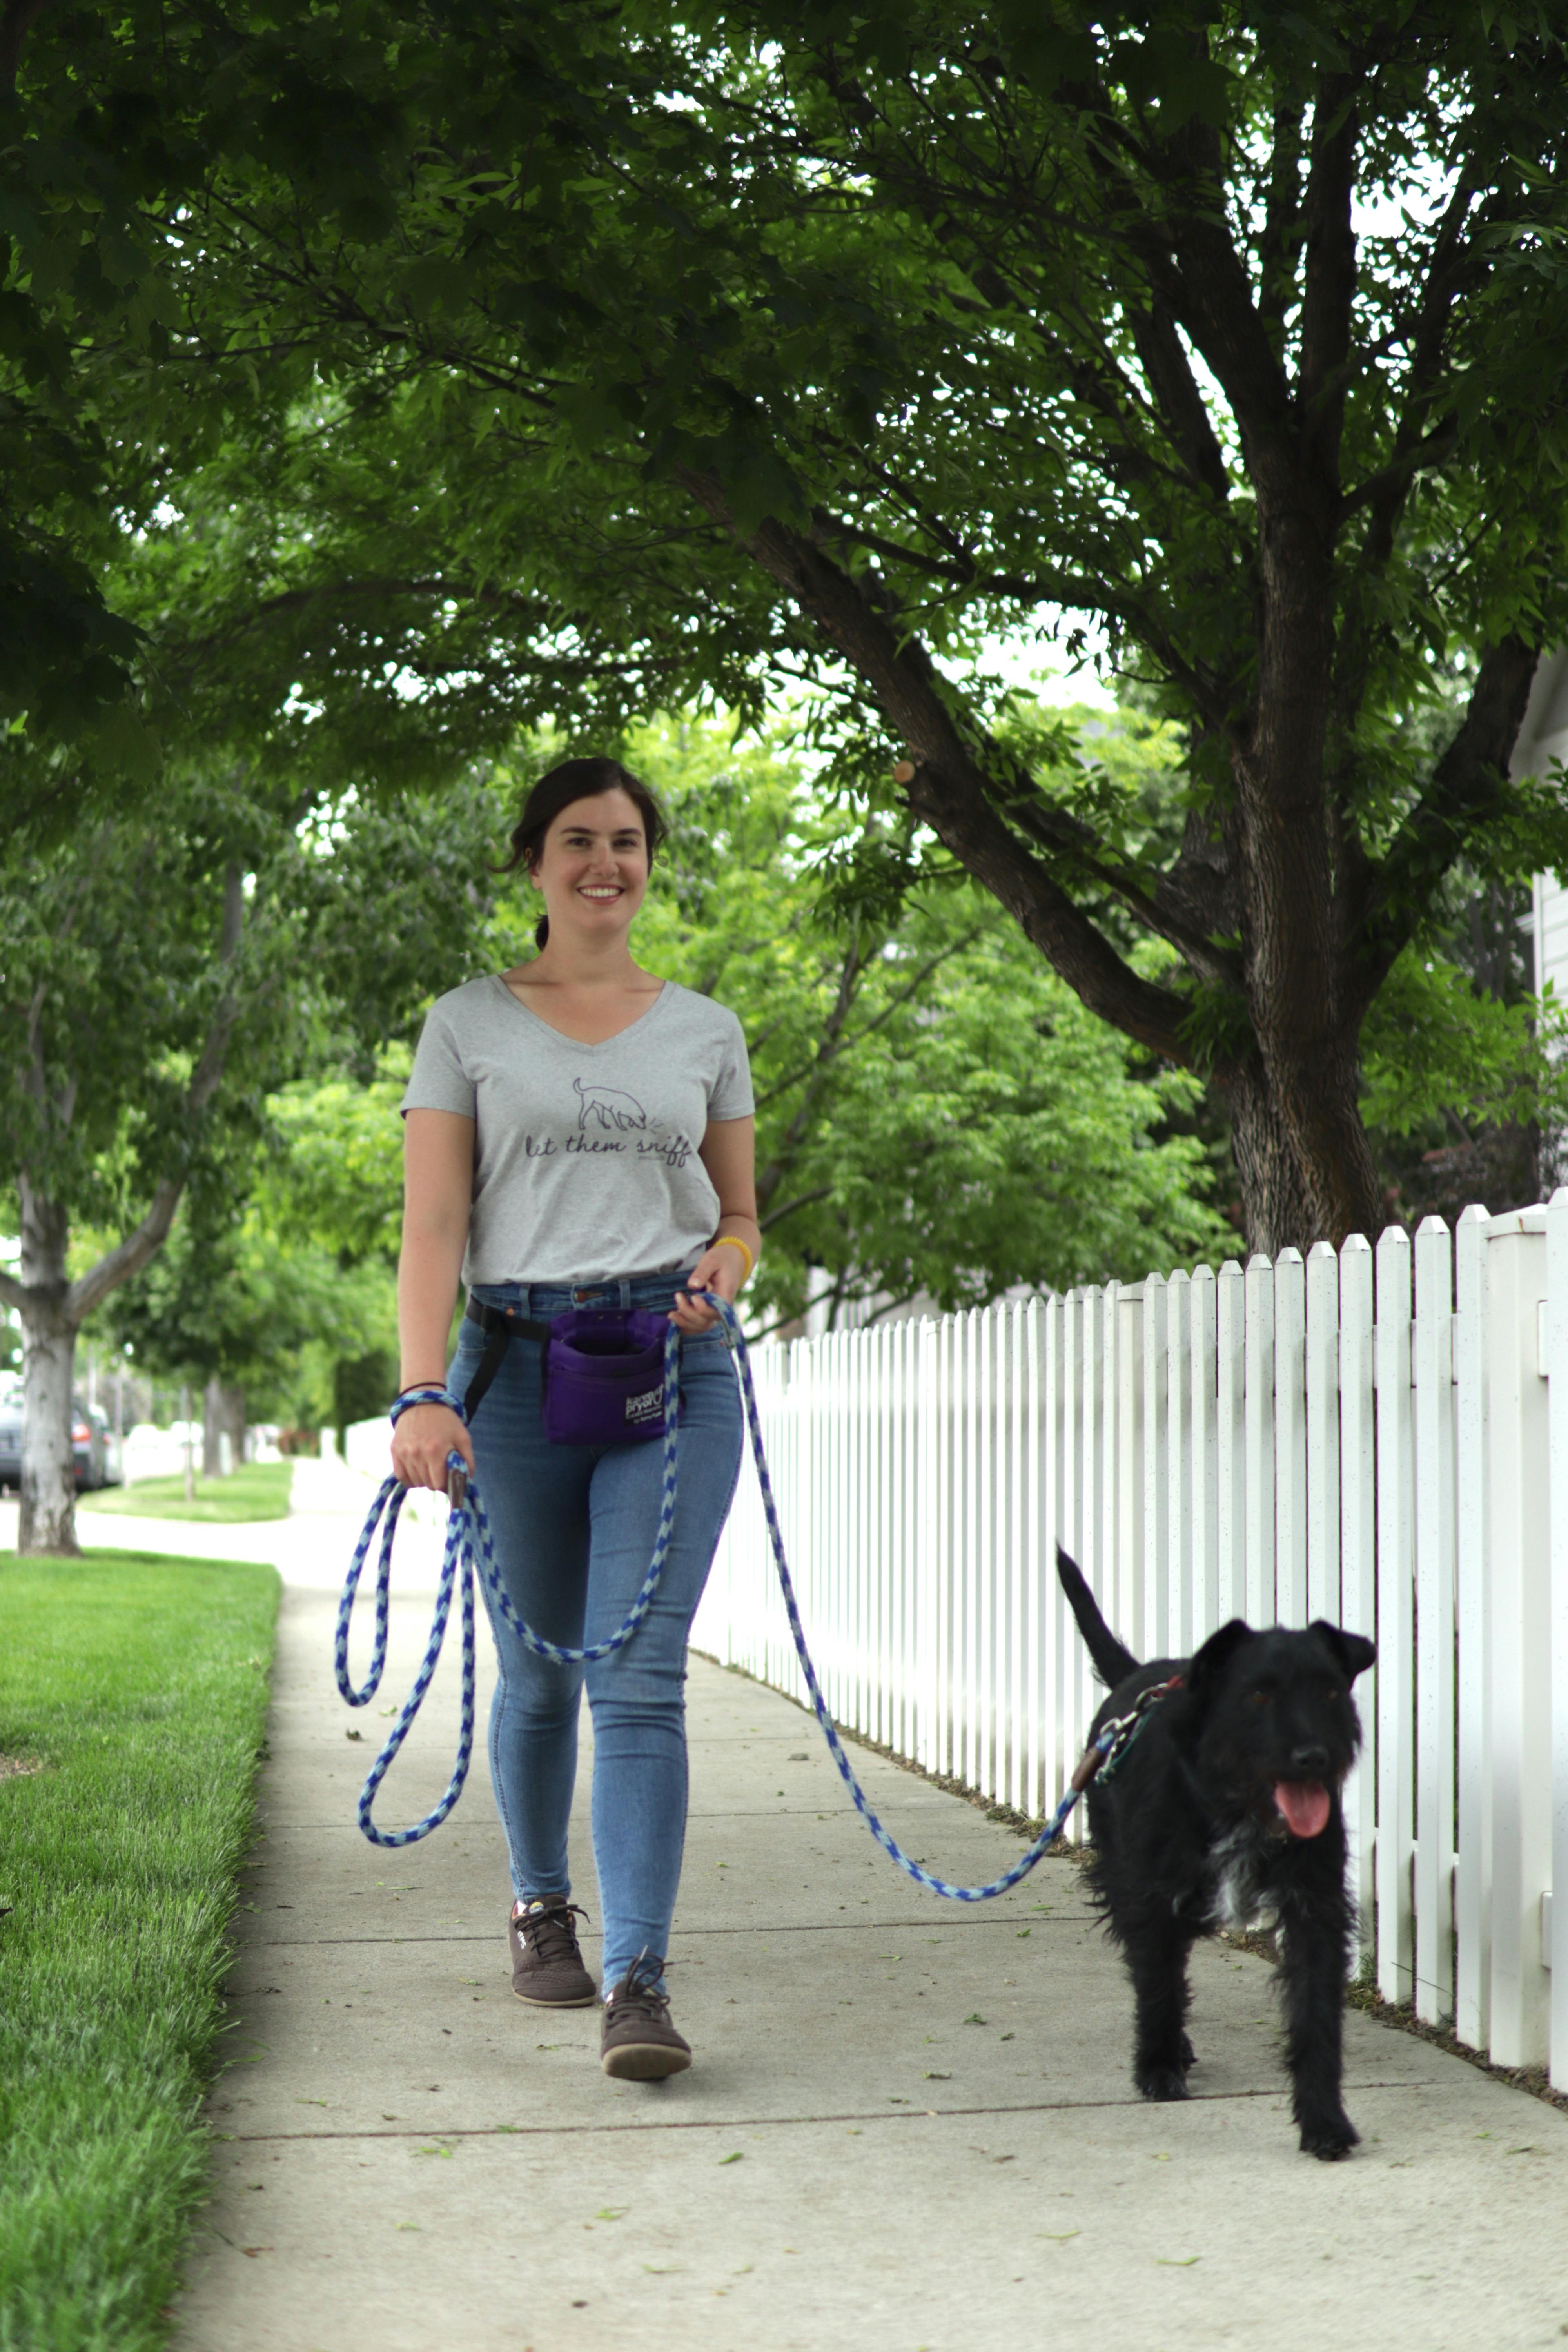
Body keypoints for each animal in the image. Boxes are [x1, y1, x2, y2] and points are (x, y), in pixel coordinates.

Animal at [1062, 1552, 1382, 2154]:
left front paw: (1324, 2119)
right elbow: (1157, 1984)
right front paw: (1159, 2067)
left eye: (1330, 1692)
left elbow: (1316, 2013)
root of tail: (1135, 1679)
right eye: (1258, 1695)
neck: (1237, 1805)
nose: (1313, 1756)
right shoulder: (1152, 1900)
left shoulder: (1316, 1908)